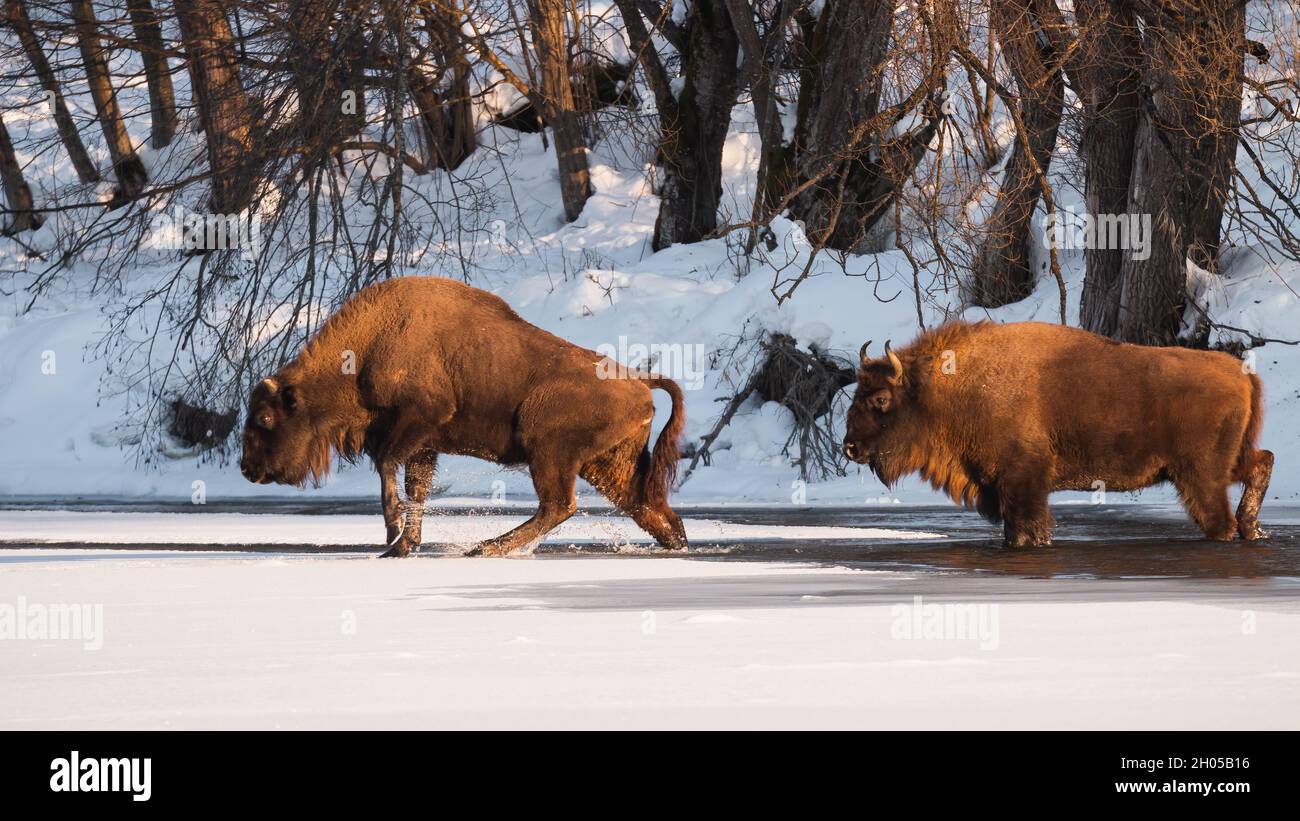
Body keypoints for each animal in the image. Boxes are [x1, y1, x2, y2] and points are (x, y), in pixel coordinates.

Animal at [243, 277, 691, 558]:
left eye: (265, 419)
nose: (248, 469)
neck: (369, 347)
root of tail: (638, 381)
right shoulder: (423, 447)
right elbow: (417, 492)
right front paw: (402, 546)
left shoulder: (420, 419)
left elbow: (389, 467)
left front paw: (391, 530)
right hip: (607, 465)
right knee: (647, 507)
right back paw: (678, 544)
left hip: (549, 452)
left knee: (560, 505)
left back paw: (485, 547)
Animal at [837, 320, 1274, 545]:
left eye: (880, 399)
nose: (851, 447)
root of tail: (1241, 372)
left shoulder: (1022, 481)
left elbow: (1025, 526)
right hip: (1223, 462)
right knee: (1262, 462)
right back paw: (1254, 529)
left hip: (1200, 475)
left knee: (1219, 517)